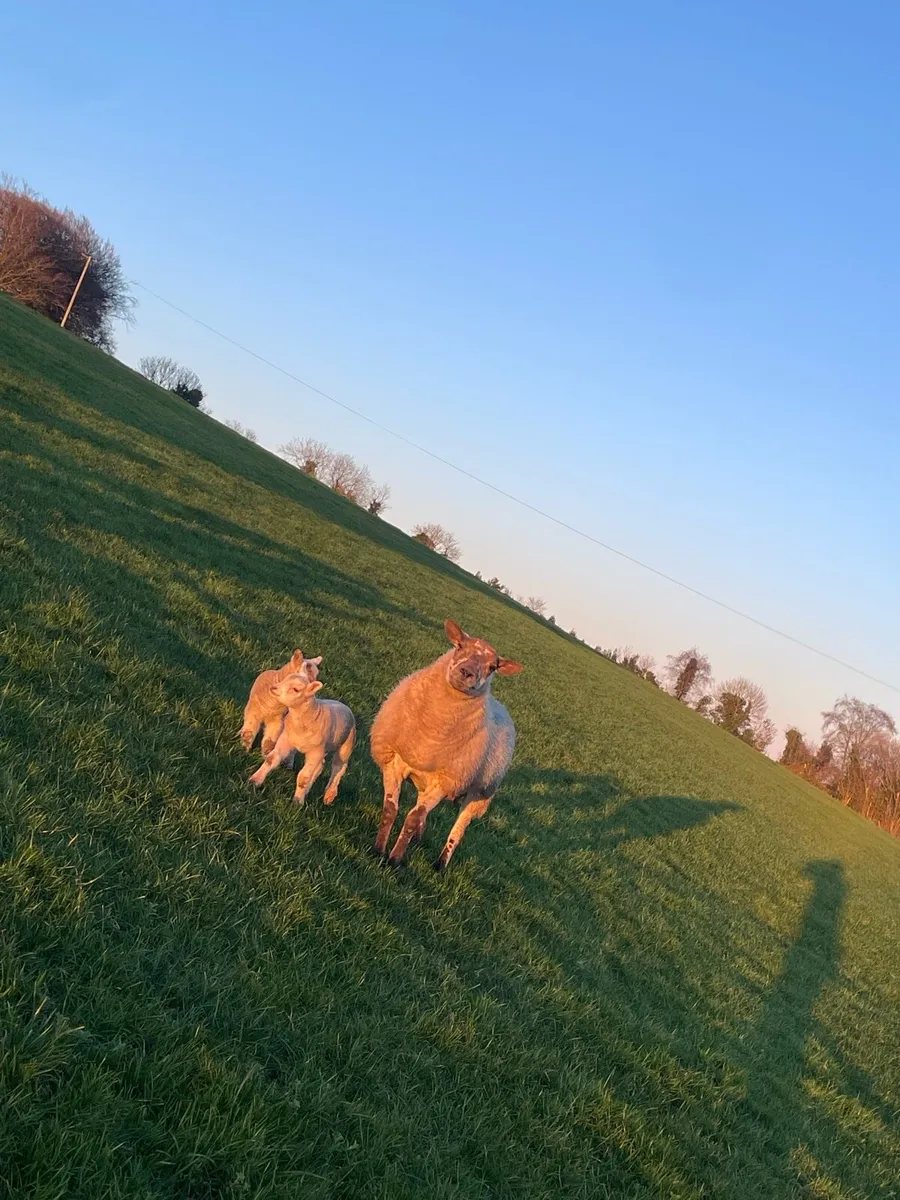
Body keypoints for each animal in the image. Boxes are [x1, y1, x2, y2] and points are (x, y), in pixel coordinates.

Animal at [248, 674, 356, 806]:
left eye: (296, 689)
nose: (273, 688)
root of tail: (344, 704)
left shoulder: (315, 751)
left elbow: (304, 777)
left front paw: (297, 802)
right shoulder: (286, 739)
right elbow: (271, 759)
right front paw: (255, 780)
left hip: (347, 744)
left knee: (339, 768)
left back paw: (329, 795)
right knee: (320, 766)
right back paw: (308, 790)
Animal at [369, 618, 522, 869]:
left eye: (493, 667)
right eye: (459, 646)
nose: (467, 672)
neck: (432, 732)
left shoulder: (445, 781)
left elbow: (412, 819)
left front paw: (394, 859)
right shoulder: (394, 762)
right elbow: (390, 810)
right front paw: (378, 850)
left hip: (479, 794)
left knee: (457, 830)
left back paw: (441, 865)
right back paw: (417, 840)